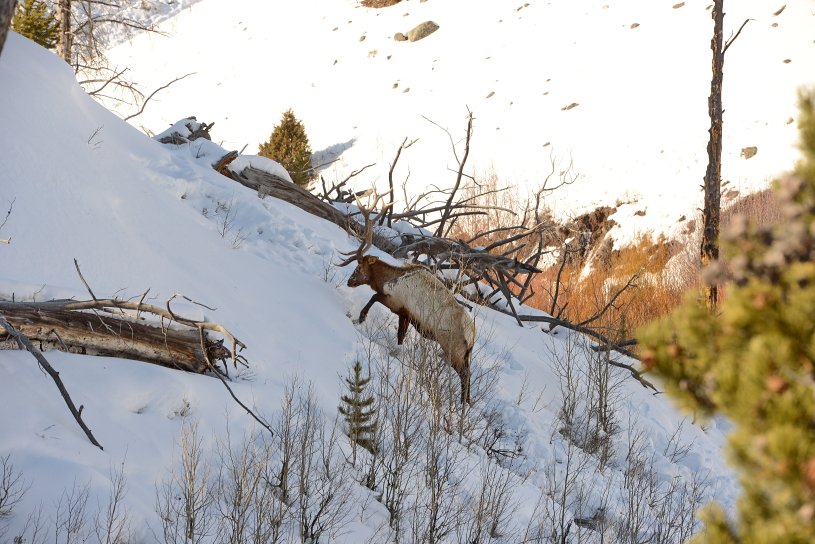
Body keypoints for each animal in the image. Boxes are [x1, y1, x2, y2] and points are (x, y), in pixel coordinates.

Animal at [339, 194, 477, 404]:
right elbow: (400, 336)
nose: (349, 281)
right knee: (468, 374)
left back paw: (462, 404)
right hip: (464, 354)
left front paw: (360, 318)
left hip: (453, 349)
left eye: (359, 267)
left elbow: (374, 297)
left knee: (464, 375)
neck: (388, 279)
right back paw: (466, 402)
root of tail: (472, 337)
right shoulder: (406, 314)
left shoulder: (397, 303)